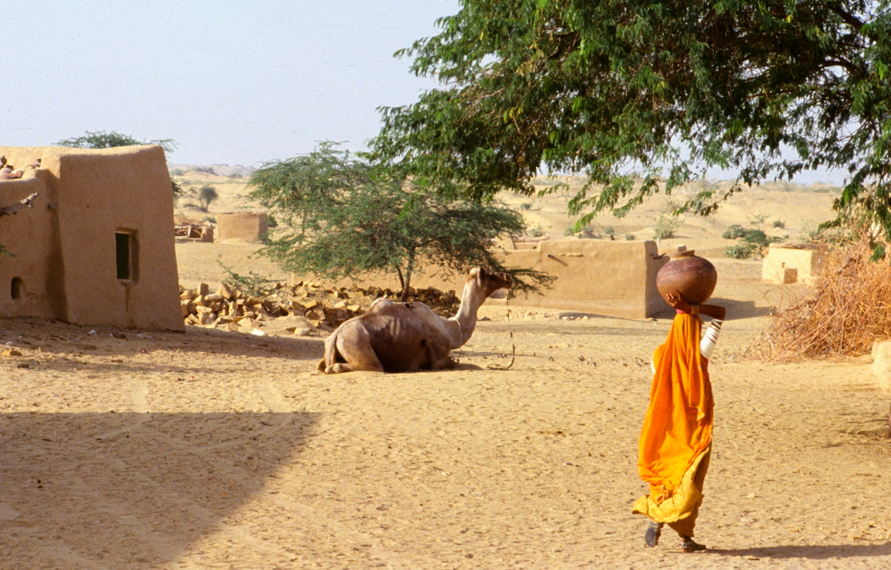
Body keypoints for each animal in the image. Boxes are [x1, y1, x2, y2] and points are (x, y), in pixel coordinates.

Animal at [320, 266, 516, 372]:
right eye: (489, 273)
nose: (508, 277)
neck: (451, 329)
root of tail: (335, 336)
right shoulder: (439, 358)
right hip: (357, 344)